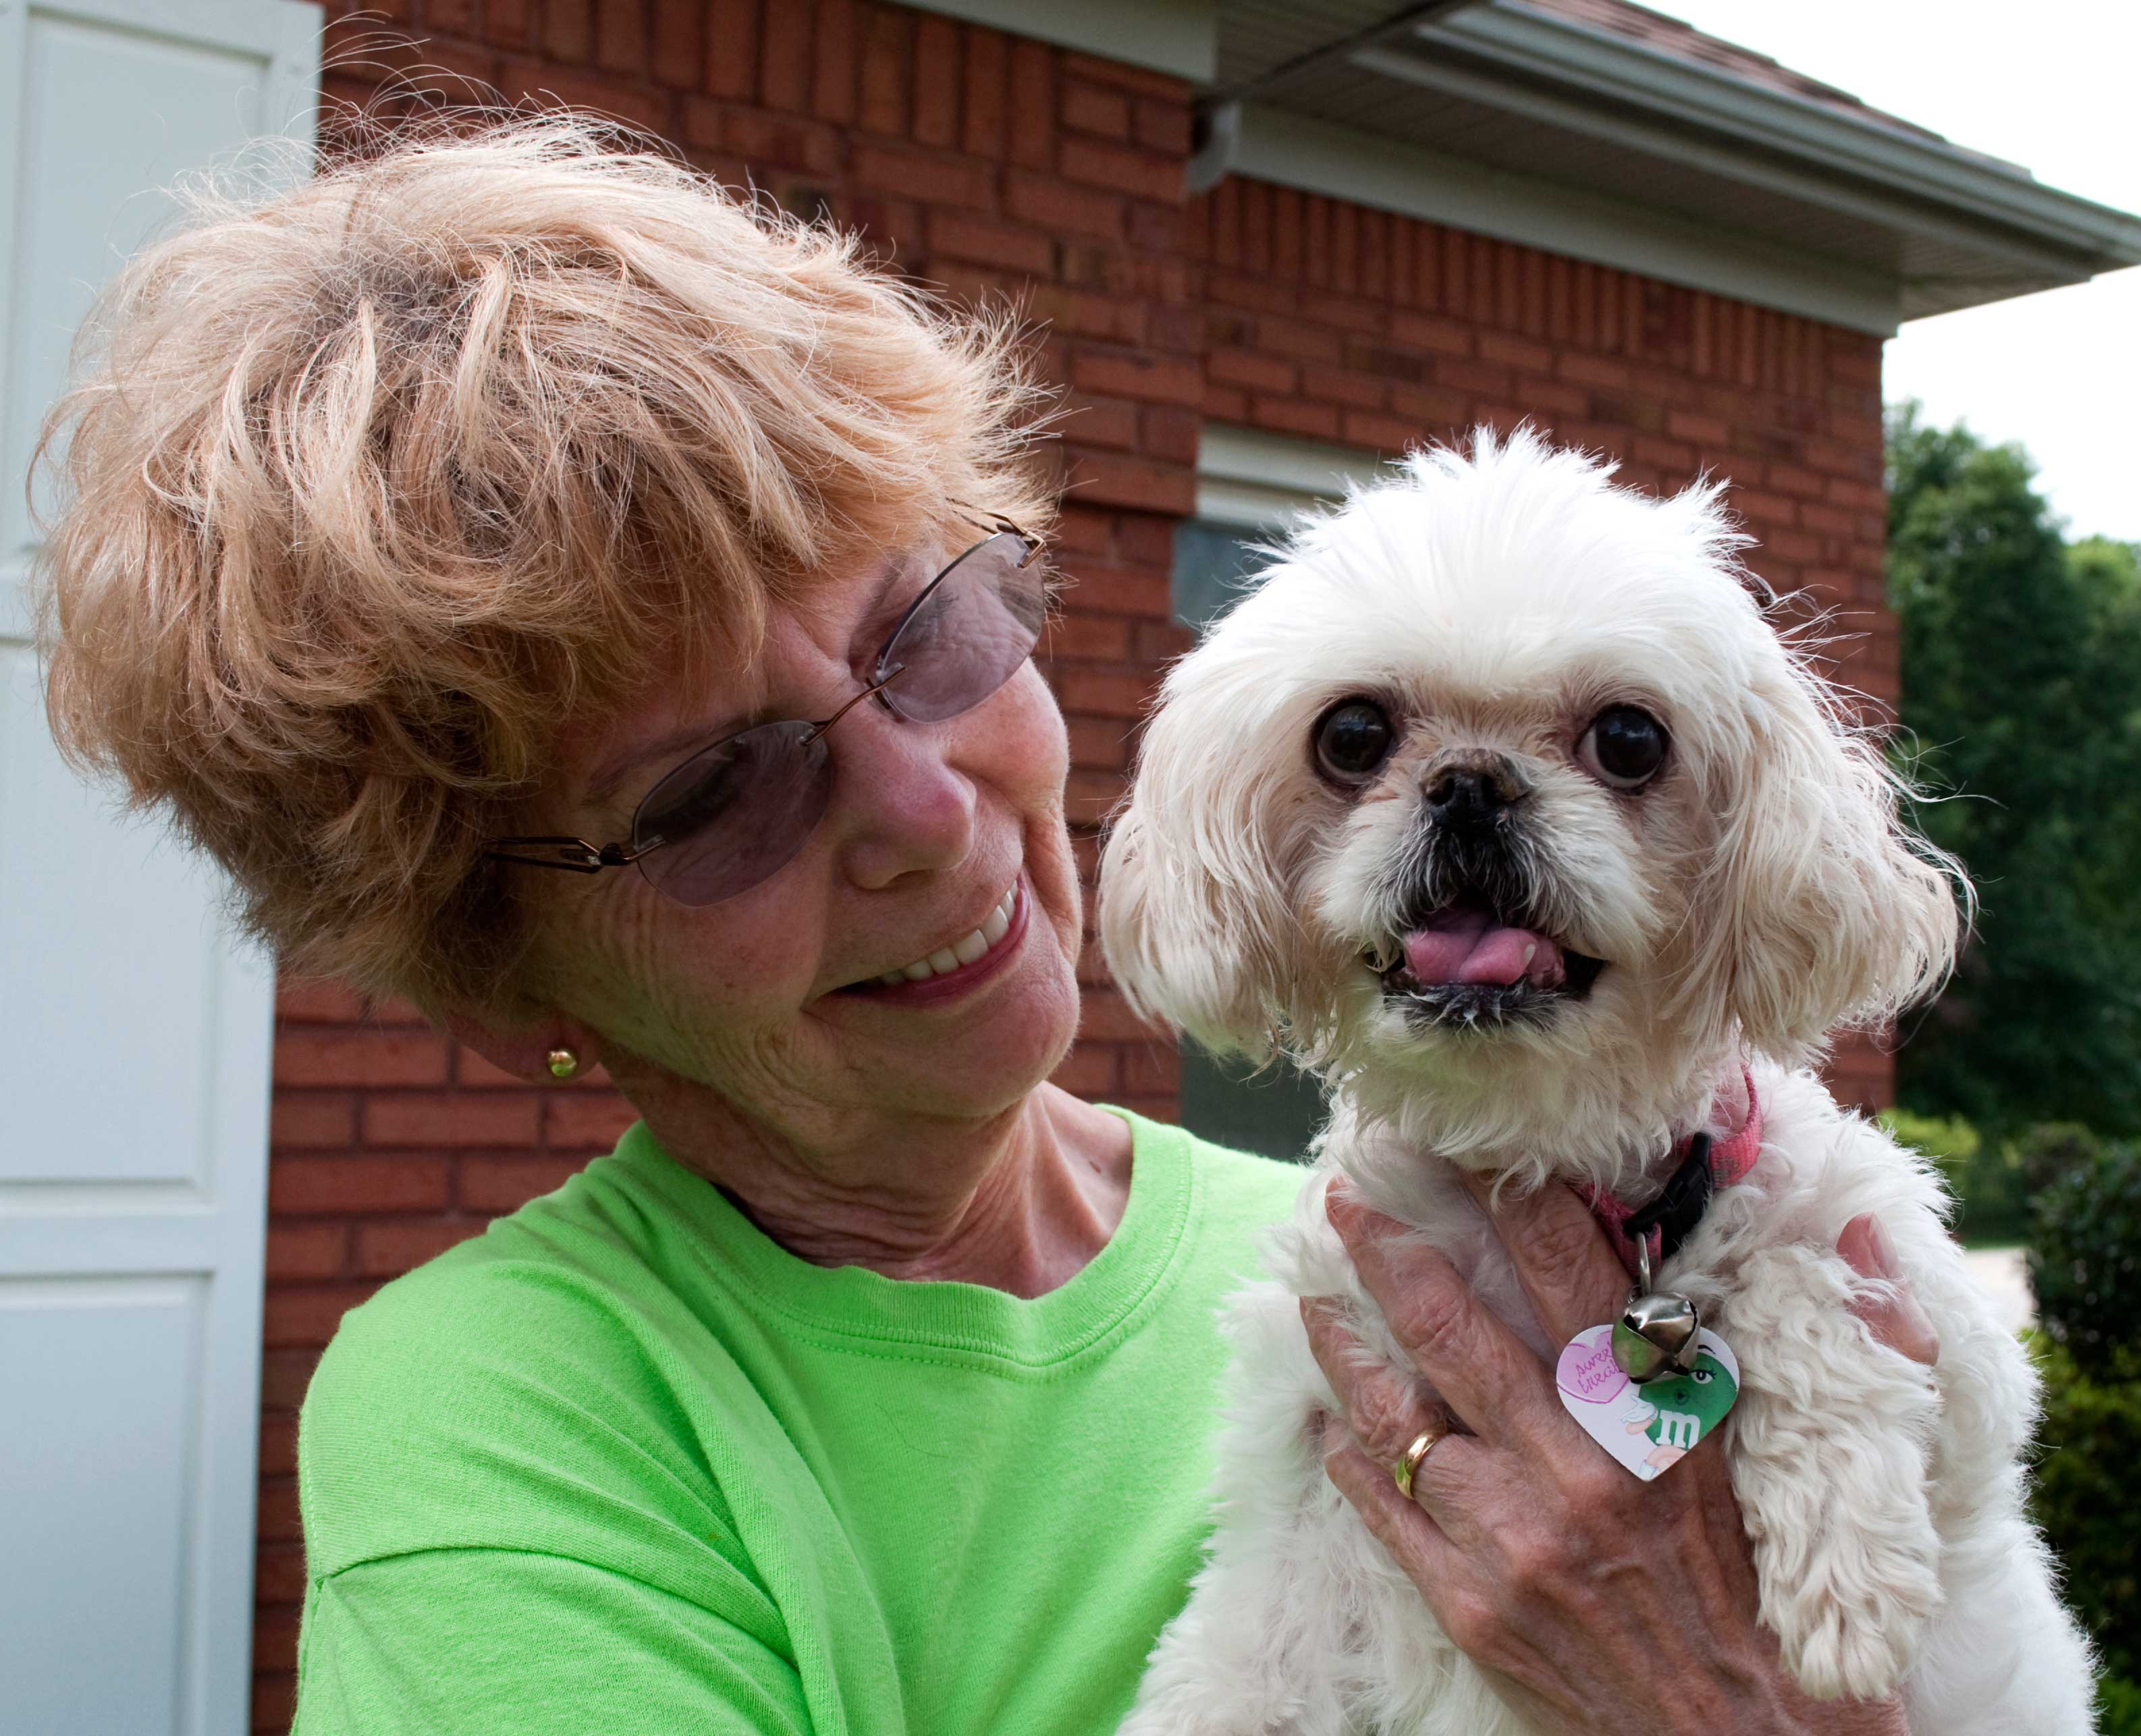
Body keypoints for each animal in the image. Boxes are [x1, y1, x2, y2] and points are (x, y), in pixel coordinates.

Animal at [1096, 430, 2098, 1736]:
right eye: (1353, 735)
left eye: (1629, 739)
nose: (1470, 782)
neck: (1542, 1142)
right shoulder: (1305, 1465)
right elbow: (1241, 1655)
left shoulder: (1965, 1370)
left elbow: (1795, 1273)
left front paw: (1846, 1577)